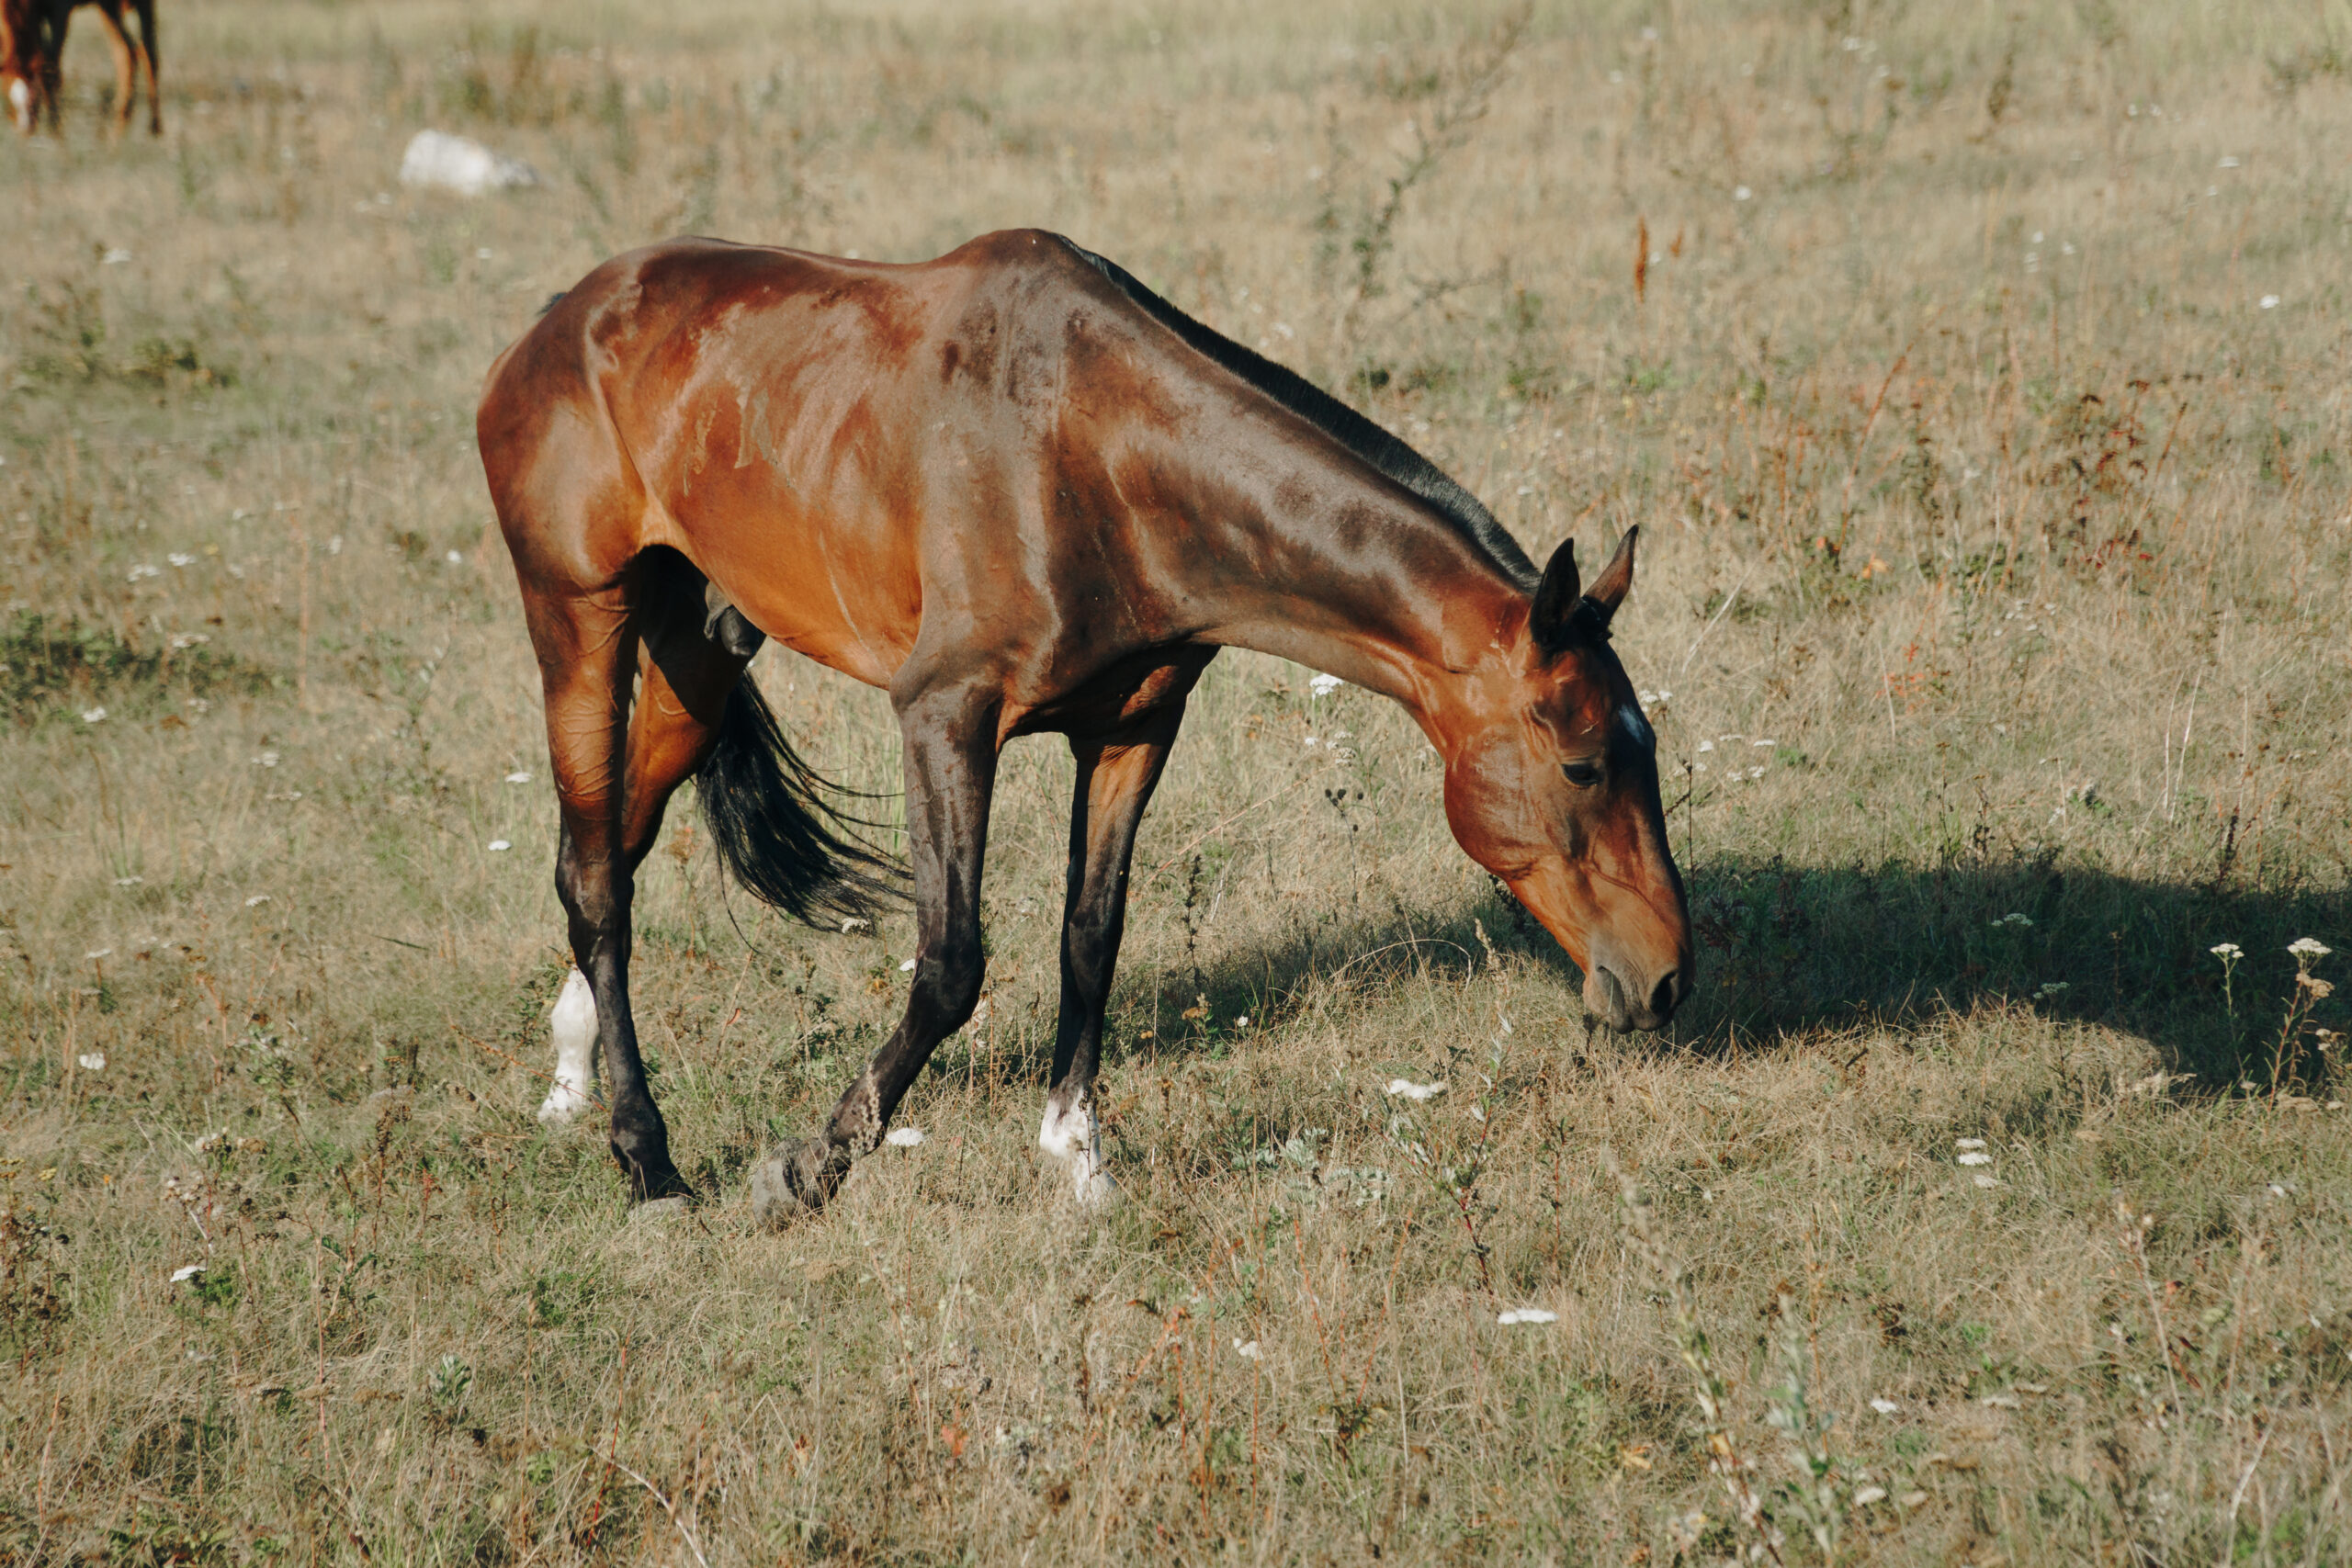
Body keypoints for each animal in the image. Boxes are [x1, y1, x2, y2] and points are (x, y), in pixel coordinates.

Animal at [2, 0, 158, 136]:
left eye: (32, 99)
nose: (25, 132)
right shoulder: (37, 17)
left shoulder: (60, 12)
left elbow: (51, 69)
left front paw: (55, 132)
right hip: (108, 7)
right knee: (126, 52)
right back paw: (120, 126)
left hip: (141, 6)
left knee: (148, 54)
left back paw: (153, 129)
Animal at [476, 230, 1693, 1222]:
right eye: (1582, 764)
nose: (1668, 982)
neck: (1097, 454)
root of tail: (554, 321)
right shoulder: (945, 717)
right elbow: (951, 966)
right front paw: (804, 1170)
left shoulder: (1133, 729)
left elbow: (1090, 936)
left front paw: (1079, 1160)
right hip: (578, 620)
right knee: (594, 872)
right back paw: (650, 1162)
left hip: (703, 647)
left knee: (611, 846)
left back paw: (576, 1073)